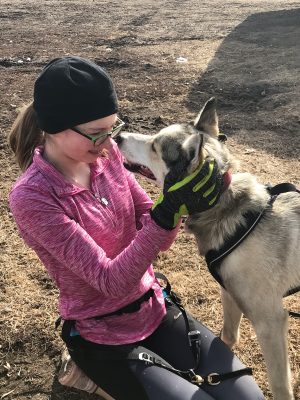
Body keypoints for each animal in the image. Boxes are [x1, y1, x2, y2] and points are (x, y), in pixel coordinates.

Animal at [116, 97, 300, 400]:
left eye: (154, 146)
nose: (118, 136)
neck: (230, 211)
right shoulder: (229, 295)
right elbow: (227, 338)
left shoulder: (271, 323)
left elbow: (280, 387)